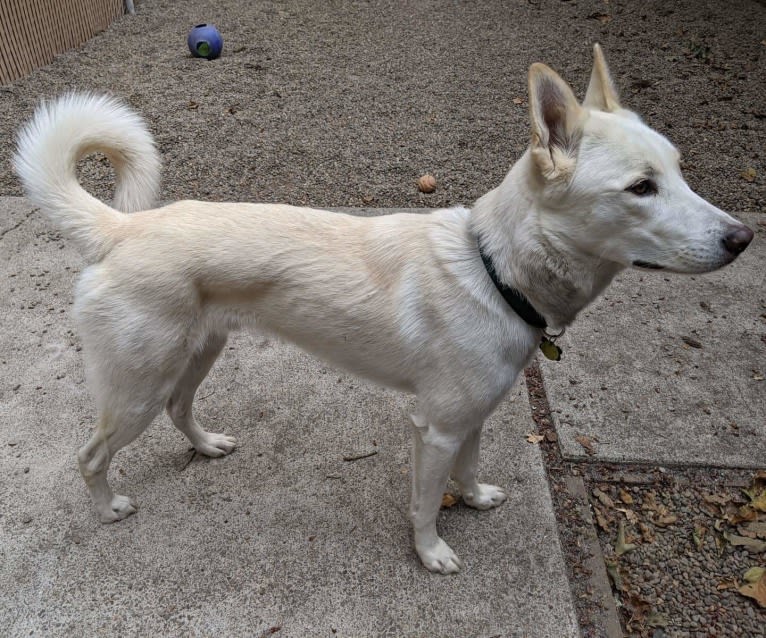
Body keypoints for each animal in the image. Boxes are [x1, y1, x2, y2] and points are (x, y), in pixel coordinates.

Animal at [13, 46, 756, 576]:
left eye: (679, 170)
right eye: (641, 188)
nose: (743, 239)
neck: (494, 270)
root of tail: (121, 227)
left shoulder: (470, 419)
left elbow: (467, 472)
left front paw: (476, 499)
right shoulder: (435, 427)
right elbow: (426, 503)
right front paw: (432, 554)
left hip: (196, 356)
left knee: (179, 409)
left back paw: (206, 446)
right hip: (136, 386)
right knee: (89, 455)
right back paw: (108, 508)